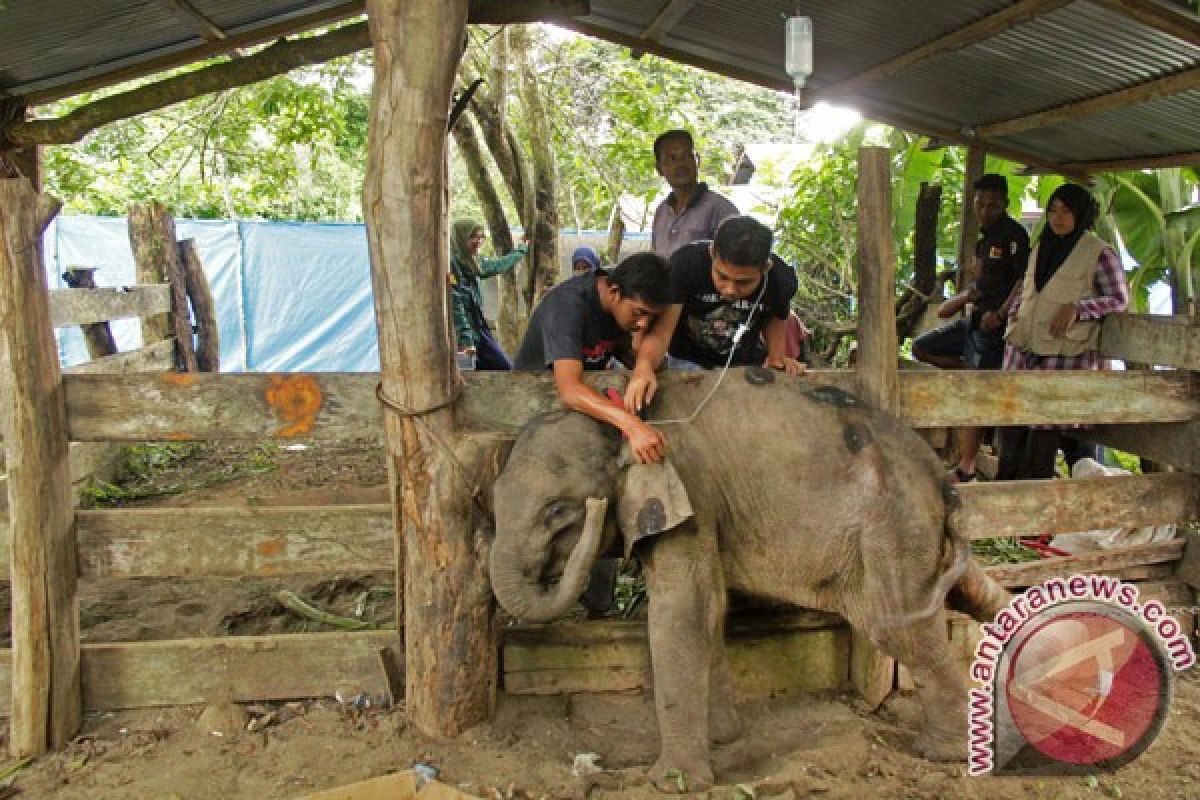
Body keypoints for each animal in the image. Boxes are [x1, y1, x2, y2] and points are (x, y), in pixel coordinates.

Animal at [487, 371, 1003, 796]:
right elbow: (709, 606)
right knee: (970, 589)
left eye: (557, 512)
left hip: (893, 530)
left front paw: (673, 782)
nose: (596, 509)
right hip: (920, 534)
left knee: (898, 628)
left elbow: (680, 611)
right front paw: (723, 738)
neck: (625, 421)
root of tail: (942, 479)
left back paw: (946, 753)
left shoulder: (691, 496)